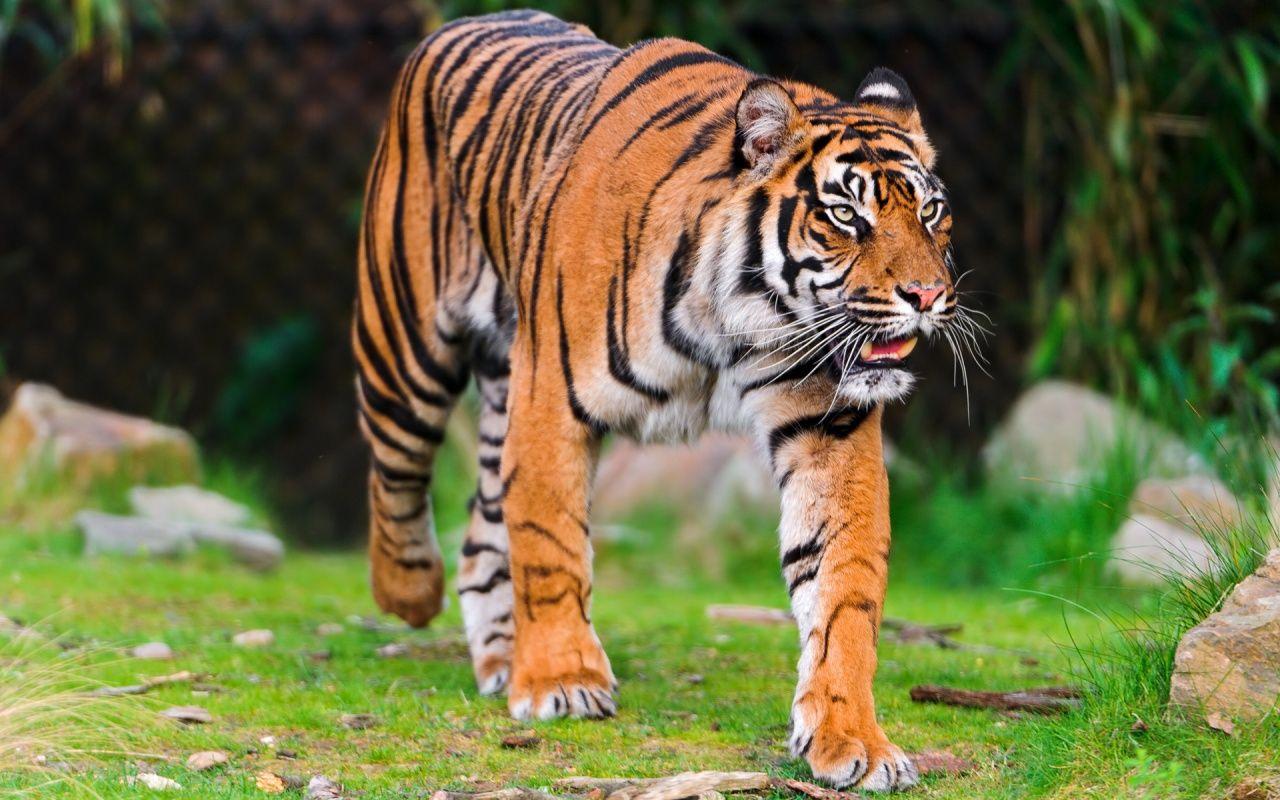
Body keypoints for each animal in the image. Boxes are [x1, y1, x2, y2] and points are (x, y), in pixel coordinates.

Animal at [354, 10, 970, 792]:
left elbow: (844, 587)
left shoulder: (828, 422)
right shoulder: (549, 398)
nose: (927, 296)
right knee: (396, 475)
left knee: (483, 526)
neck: (737, 322)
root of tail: (464, 22)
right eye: (844, 216)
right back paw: (410, 593)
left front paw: (850, 737)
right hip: (405, 344)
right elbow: (551, 541)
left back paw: (501, 658)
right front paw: (563, 680)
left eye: (932, 212)